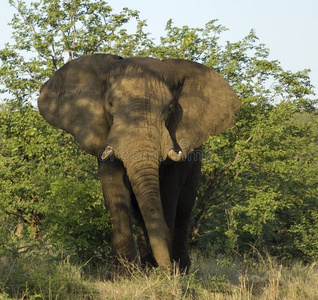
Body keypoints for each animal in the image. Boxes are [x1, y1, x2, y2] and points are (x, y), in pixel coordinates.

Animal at [38, 53, 241, 272]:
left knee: (184, 209)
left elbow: (167, 195)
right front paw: (124, 275)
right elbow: (114, 189)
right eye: (110, 105)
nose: (166, 271)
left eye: (170, 109)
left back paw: (179, 269)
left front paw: (167, 273)